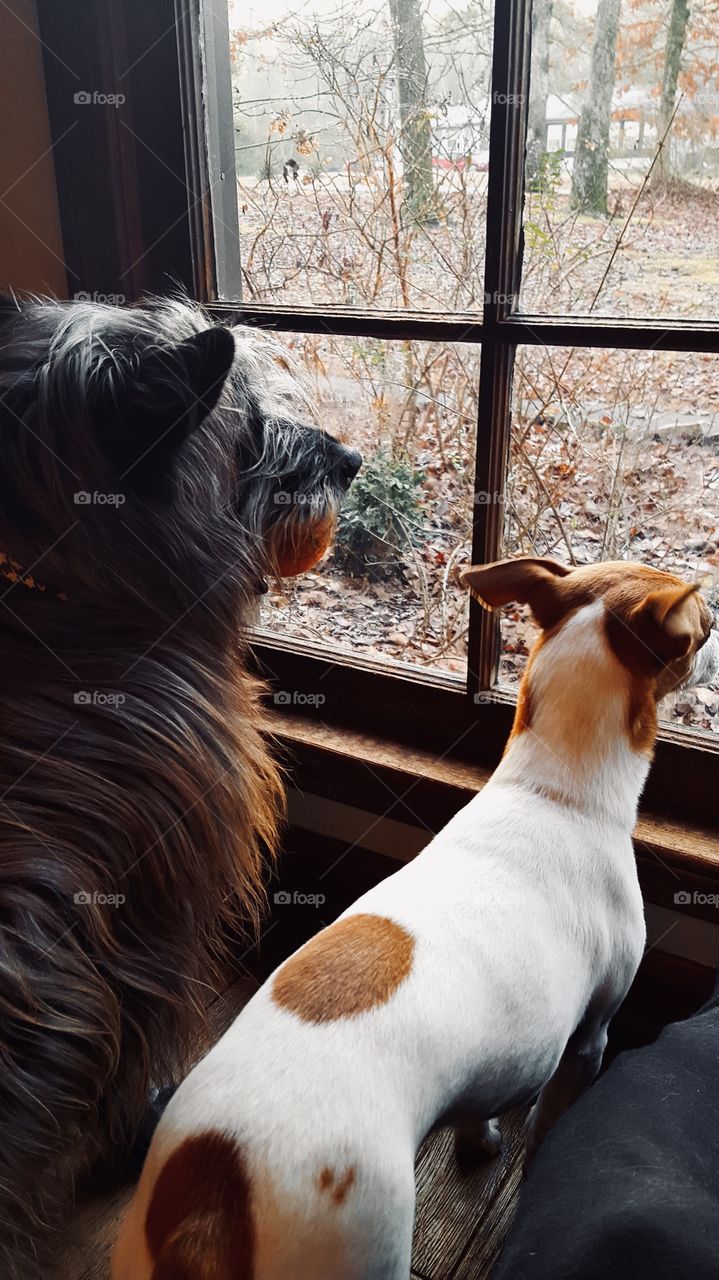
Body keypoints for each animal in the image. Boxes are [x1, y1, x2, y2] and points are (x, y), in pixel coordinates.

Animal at [111, 558, 716, 1280]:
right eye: (702, 628)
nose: (716, 625)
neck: (553, 792)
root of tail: (214, 1208)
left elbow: (478, 1106)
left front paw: (480, 1139)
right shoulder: (591, 1033)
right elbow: (548, 1120)